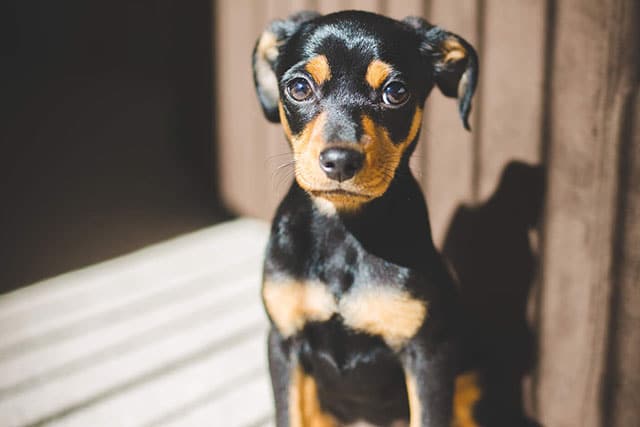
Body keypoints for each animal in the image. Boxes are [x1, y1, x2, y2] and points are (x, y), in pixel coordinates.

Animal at [252, 10, 478, 427]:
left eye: (396, 92)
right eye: (299, 87)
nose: (340, 161)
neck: (345, 230)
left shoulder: (429, 354)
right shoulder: (284, 341)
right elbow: (288, 412)